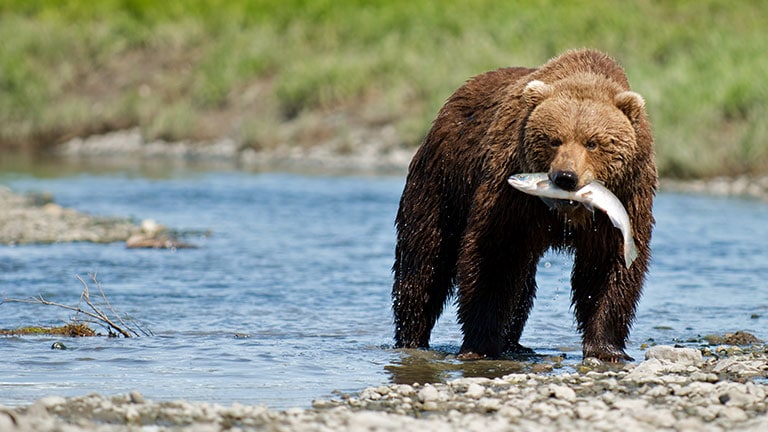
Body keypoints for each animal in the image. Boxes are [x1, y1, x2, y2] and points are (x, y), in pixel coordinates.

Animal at [392, 49, 656, 361]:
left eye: (592, 142)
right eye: (554, 140)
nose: (565, 177)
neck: (566, 213)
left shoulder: (626, 200)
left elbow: (607, 268)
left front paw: (607, 348)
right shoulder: (509, 195)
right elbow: (493, 257)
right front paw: (480, 344)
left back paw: (513, 343)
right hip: (441, 182)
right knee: (424, 262)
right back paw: (411, 336)